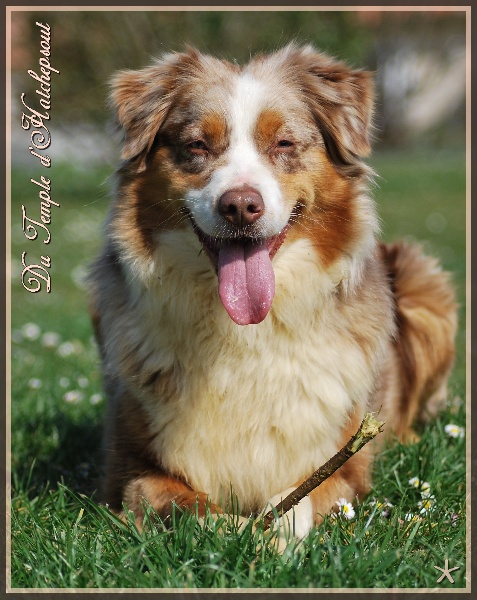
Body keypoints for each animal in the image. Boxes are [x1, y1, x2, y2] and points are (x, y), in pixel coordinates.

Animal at [87, 45, 456, 544]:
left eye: (283, 144)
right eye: (197, 146)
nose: (241, 205)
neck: (243, 332)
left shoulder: (345, 466)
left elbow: (294, 501)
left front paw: (275, 539)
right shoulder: (128, 468)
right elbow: (186, 507)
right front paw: (238, 533)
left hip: (423, 283)